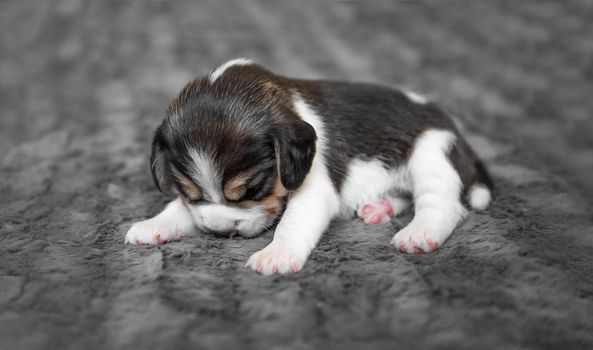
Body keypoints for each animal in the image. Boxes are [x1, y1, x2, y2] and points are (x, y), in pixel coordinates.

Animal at [125, 58, 490, 274]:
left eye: (253, 189)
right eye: (190, 192)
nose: (222, 231)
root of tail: (461, 137)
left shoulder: (314, 187)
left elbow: (292, 222)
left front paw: (276, 254)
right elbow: (178, 209)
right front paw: (153, 224)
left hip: (432, 154)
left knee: (443, 205)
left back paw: (419, 233)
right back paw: (379, 207)